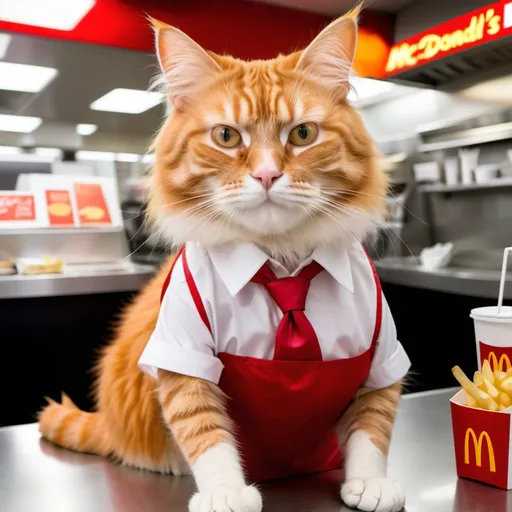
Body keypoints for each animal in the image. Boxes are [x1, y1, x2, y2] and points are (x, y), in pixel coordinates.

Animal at [39, 7, 412, 512]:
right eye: (226, 136)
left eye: (303, 134)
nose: (267, 175)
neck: (281, 261)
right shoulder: (182, 354)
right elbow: (204, 429)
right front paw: (225, 492)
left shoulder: (381, 356)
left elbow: (373, 426)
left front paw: (370, 482)